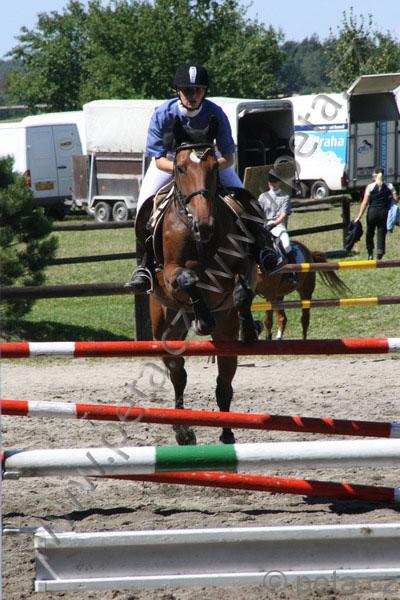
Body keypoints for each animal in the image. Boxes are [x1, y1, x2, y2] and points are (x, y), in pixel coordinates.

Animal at [135, 116, 267, 446]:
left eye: (214, 167)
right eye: (181, 168)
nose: (204, 224)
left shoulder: (246, 264)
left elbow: (242, 292)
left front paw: (250, 327)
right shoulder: (171, 274)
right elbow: (189, 278)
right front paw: (202, 319)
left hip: (225, 334)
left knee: (224, 383)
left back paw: (227, 433)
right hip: (165, 328)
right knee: (178, 374)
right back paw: (183, 431)